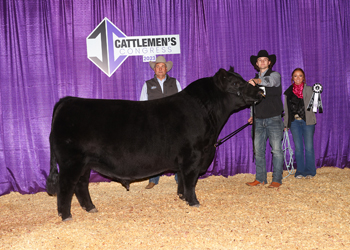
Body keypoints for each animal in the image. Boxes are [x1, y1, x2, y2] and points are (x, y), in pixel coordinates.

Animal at [47, 67, 264, 221]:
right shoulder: (194, 154)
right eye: (236, 83)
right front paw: (194, 202)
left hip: (85, 163)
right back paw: (66, 215)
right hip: (71, 161)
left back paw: (90, 208)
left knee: (81, 185)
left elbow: (182, 178)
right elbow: (191, 179)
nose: (260, 92)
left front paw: (182, 197)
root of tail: (67, 101)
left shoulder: (185, 158)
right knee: (66, 185)